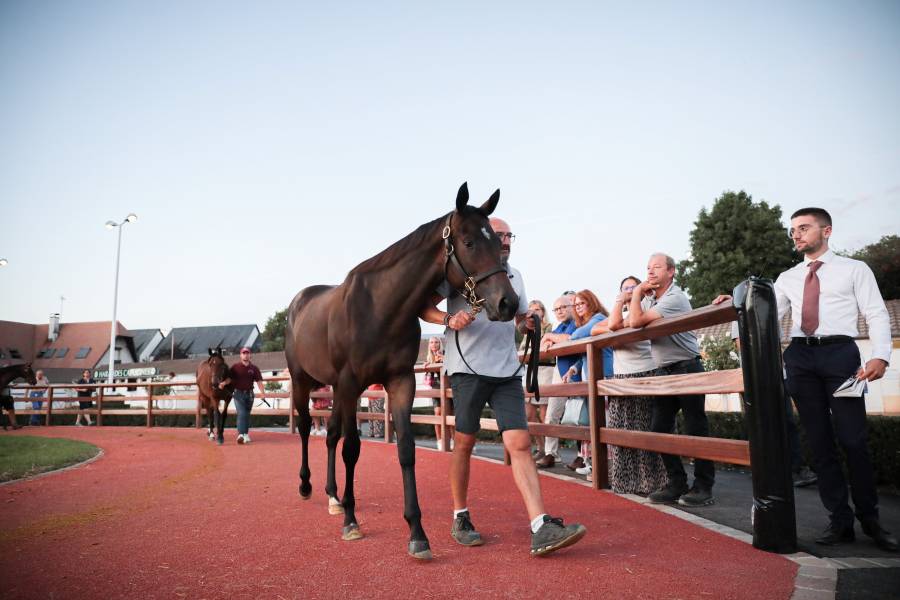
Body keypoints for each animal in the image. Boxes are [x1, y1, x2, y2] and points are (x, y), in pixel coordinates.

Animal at [284, 183, 516, 556]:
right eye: (469, 242)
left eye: (497, 242)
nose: (507, 303)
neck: (381, 307)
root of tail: (298, 303)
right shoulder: (351, 383)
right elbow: (353, 448)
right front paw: (351, 522)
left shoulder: (400, 381)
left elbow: (406, 450)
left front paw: (417, 532)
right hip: (304, 380)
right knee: (307, 428)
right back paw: (308, 486)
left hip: (334, 389)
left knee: (330, 434)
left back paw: (334, 496)